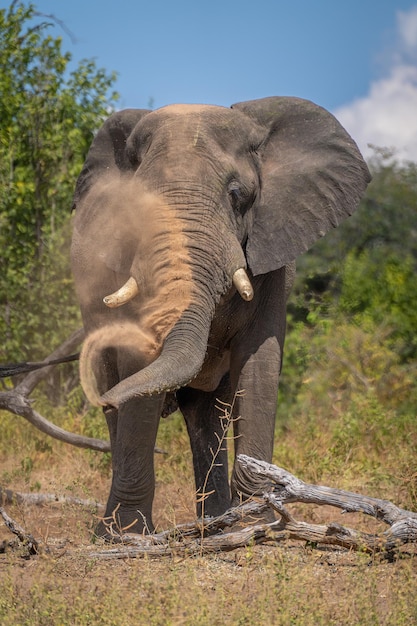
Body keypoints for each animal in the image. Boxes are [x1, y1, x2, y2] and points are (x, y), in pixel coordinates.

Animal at [71, 96, 370, 536]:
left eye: (237, 194)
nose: (102, 399)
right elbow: (137, 360)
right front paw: (128, 535)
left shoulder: (273, 258)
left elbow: (260, 361)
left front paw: (256, 522)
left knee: (206, 412)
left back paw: (215, 523)